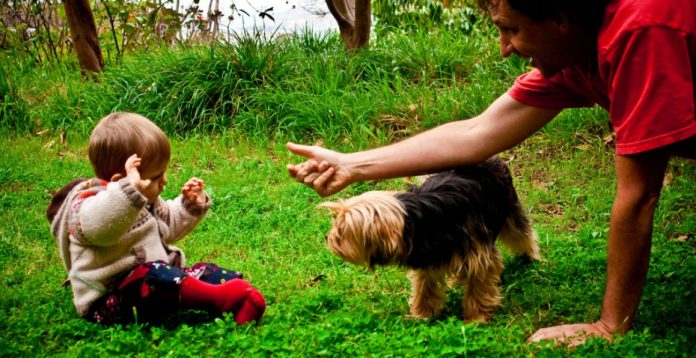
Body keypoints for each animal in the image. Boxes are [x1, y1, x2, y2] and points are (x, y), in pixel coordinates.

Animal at [320, 156, 544, 322]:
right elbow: (424, 289)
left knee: (521, 234)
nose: (328, 237)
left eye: (342, 230)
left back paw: (531, 257)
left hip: (508, 208)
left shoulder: (479, 256)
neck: (414, 221)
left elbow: (479, 287)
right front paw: (421, 315)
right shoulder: (427, 261)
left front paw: (476, 318)